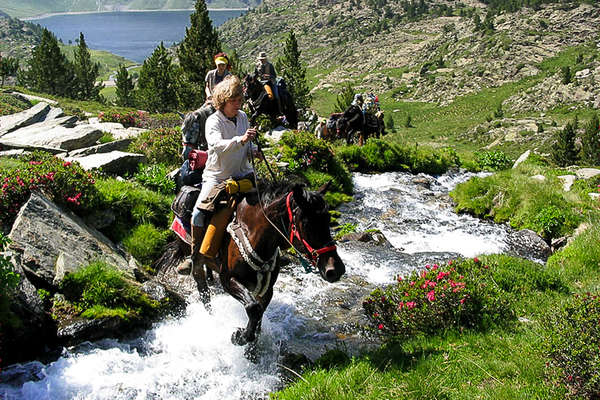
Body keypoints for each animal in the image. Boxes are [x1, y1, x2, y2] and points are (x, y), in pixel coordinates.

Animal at [198, 183, 346, 346]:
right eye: (307, 224)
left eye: (328, 219)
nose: (336, 269)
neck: (253, 235)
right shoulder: (227, 279)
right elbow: (253, 308)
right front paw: (239, 337)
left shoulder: (267, 289)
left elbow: (259, 316)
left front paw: (250, 344)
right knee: (203, 290)